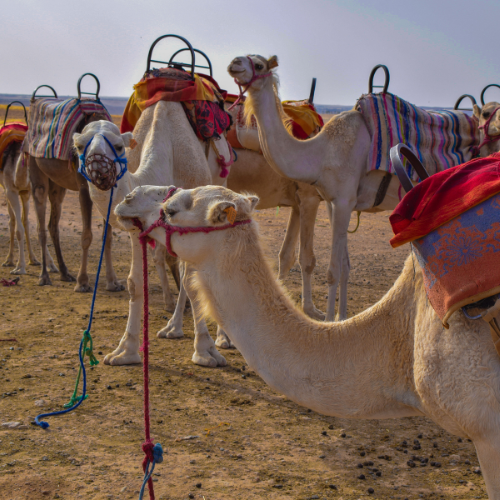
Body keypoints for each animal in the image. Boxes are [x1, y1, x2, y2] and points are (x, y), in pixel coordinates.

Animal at [28, 110, 124, 294]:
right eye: (79, 147)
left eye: (119, 147)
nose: (98, 168)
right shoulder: (84, 189)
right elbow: (86, 236)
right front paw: (82, 282)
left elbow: (107, 237)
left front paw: (113, 282)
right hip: (35, 166)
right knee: (40, 225)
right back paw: (44, 276)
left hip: (57, 186)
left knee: (53, 225)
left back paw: (65, 273)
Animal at [73, 103, 234, 370]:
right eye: (78, 146)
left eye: (119, 146)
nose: (98, 170)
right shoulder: (137, 228)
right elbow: (135, 283)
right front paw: (124, 352)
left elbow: (195, 281)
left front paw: (206, 350)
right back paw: (173, 327)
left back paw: (223, 337)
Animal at [229, 54, 404, 320]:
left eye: (259, 65)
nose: (234, 63)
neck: (320, 152)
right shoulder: (329, 201)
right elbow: (334, 263)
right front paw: (335, 316)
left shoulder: (324, 200)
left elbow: (314, 262)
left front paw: (322, 315)